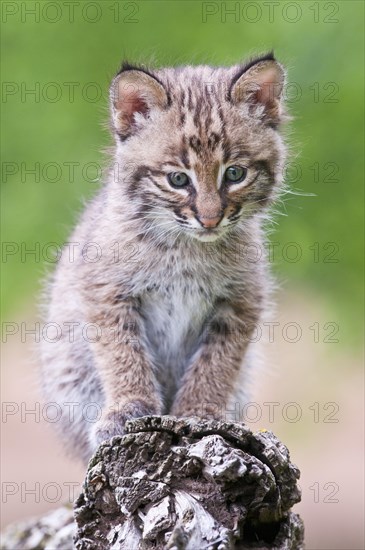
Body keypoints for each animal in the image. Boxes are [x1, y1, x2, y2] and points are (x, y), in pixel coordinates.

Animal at [41, 52, 288, 466]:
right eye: (178, 180)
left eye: (235, 174)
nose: (210, 219)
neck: (187, 245)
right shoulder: (106, 290)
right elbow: (123, 353)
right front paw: (128, 409)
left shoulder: (242, 298)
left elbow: (217, 361)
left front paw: (200, 414)